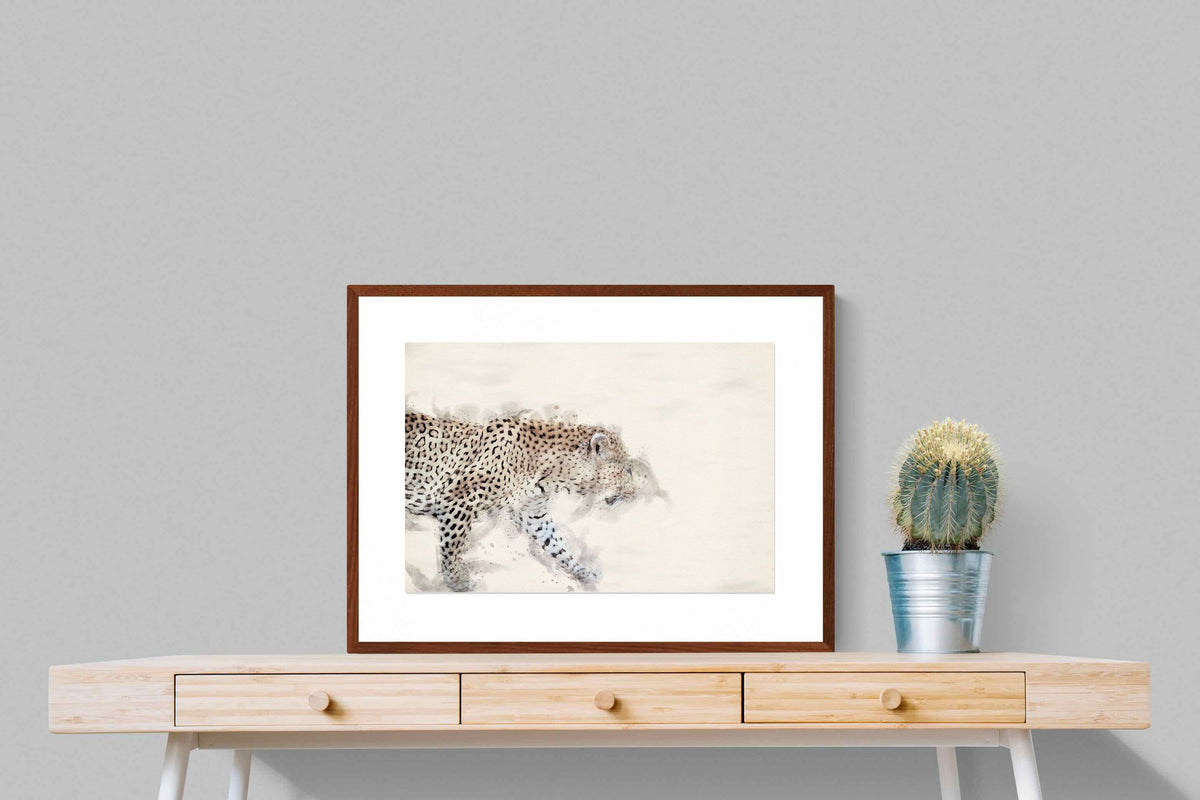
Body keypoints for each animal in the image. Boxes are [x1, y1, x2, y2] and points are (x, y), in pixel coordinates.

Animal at [404, 409, 659, 591]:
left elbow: (557, 544)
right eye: (626, 470)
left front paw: (583, 572)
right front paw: (456, 581)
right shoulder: (457, 500)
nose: (636, 492)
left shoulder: (533, 514)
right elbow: (452, 546)